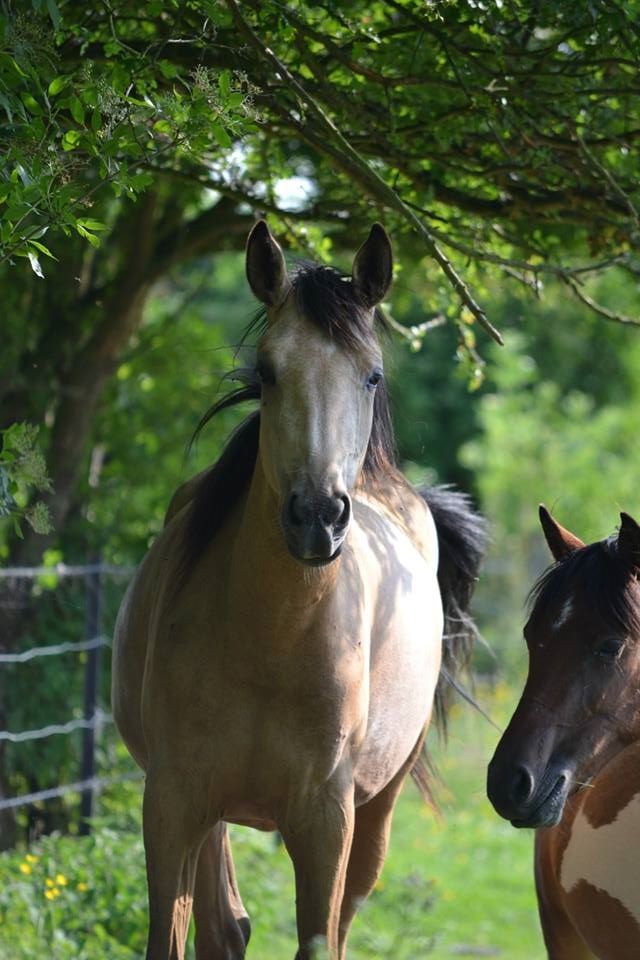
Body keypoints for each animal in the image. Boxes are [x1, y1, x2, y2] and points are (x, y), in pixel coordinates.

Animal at [111, 223, 484, 960]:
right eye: (267, 372)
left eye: (371, 373)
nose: (317, 515)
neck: (272, 639)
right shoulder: (172, 800)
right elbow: (171, 934)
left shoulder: (323, 821)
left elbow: (317, 937)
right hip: (209, 809)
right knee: (223, 923)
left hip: (375, 811)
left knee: (338, 915)